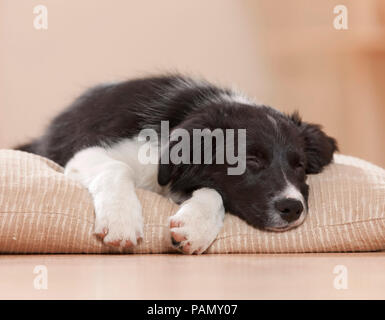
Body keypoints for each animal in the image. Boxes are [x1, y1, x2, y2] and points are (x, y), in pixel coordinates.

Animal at [17, 74, 336, 254]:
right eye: (251, 160)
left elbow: (216, 192)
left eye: (300, 165)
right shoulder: (87, 153)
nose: (293, 208)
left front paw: (195, 226)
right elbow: (116, 167)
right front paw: (121, 220)